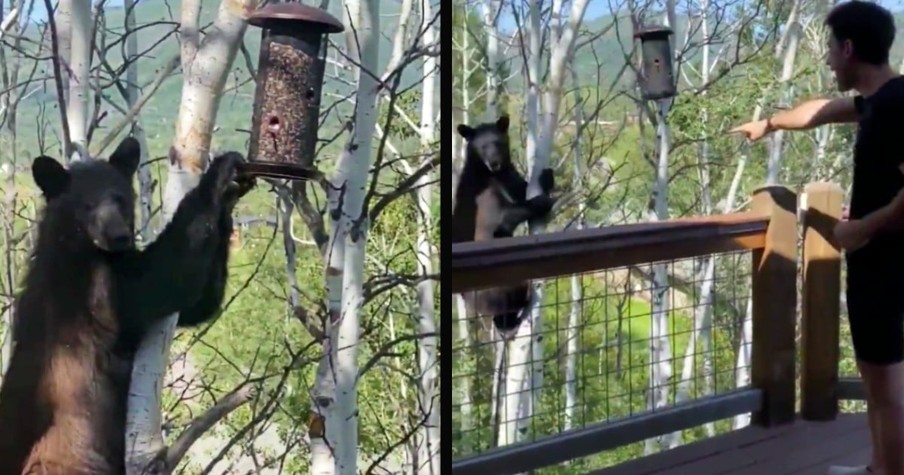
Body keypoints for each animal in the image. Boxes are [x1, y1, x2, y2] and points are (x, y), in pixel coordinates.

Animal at [0, 136, 252, 474]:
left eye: (120, 198)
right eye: (87, 205)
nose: (118, 235)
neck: (77, 244)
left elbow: (198, 305)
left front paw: (233, 189)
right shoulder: (94, 287)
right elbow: (166, 277)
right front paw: (220, 175)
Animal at [450, 115, 556, 336]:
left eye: (497, 143)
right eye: (483, 146)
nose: (494, 162)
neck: (490, 174)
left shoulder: (509, 177)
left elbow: (522, 188)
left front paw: (546, 177)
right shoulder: (485, 198)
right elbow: (503, 221)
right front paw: (542, 202)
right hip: (494, 288)